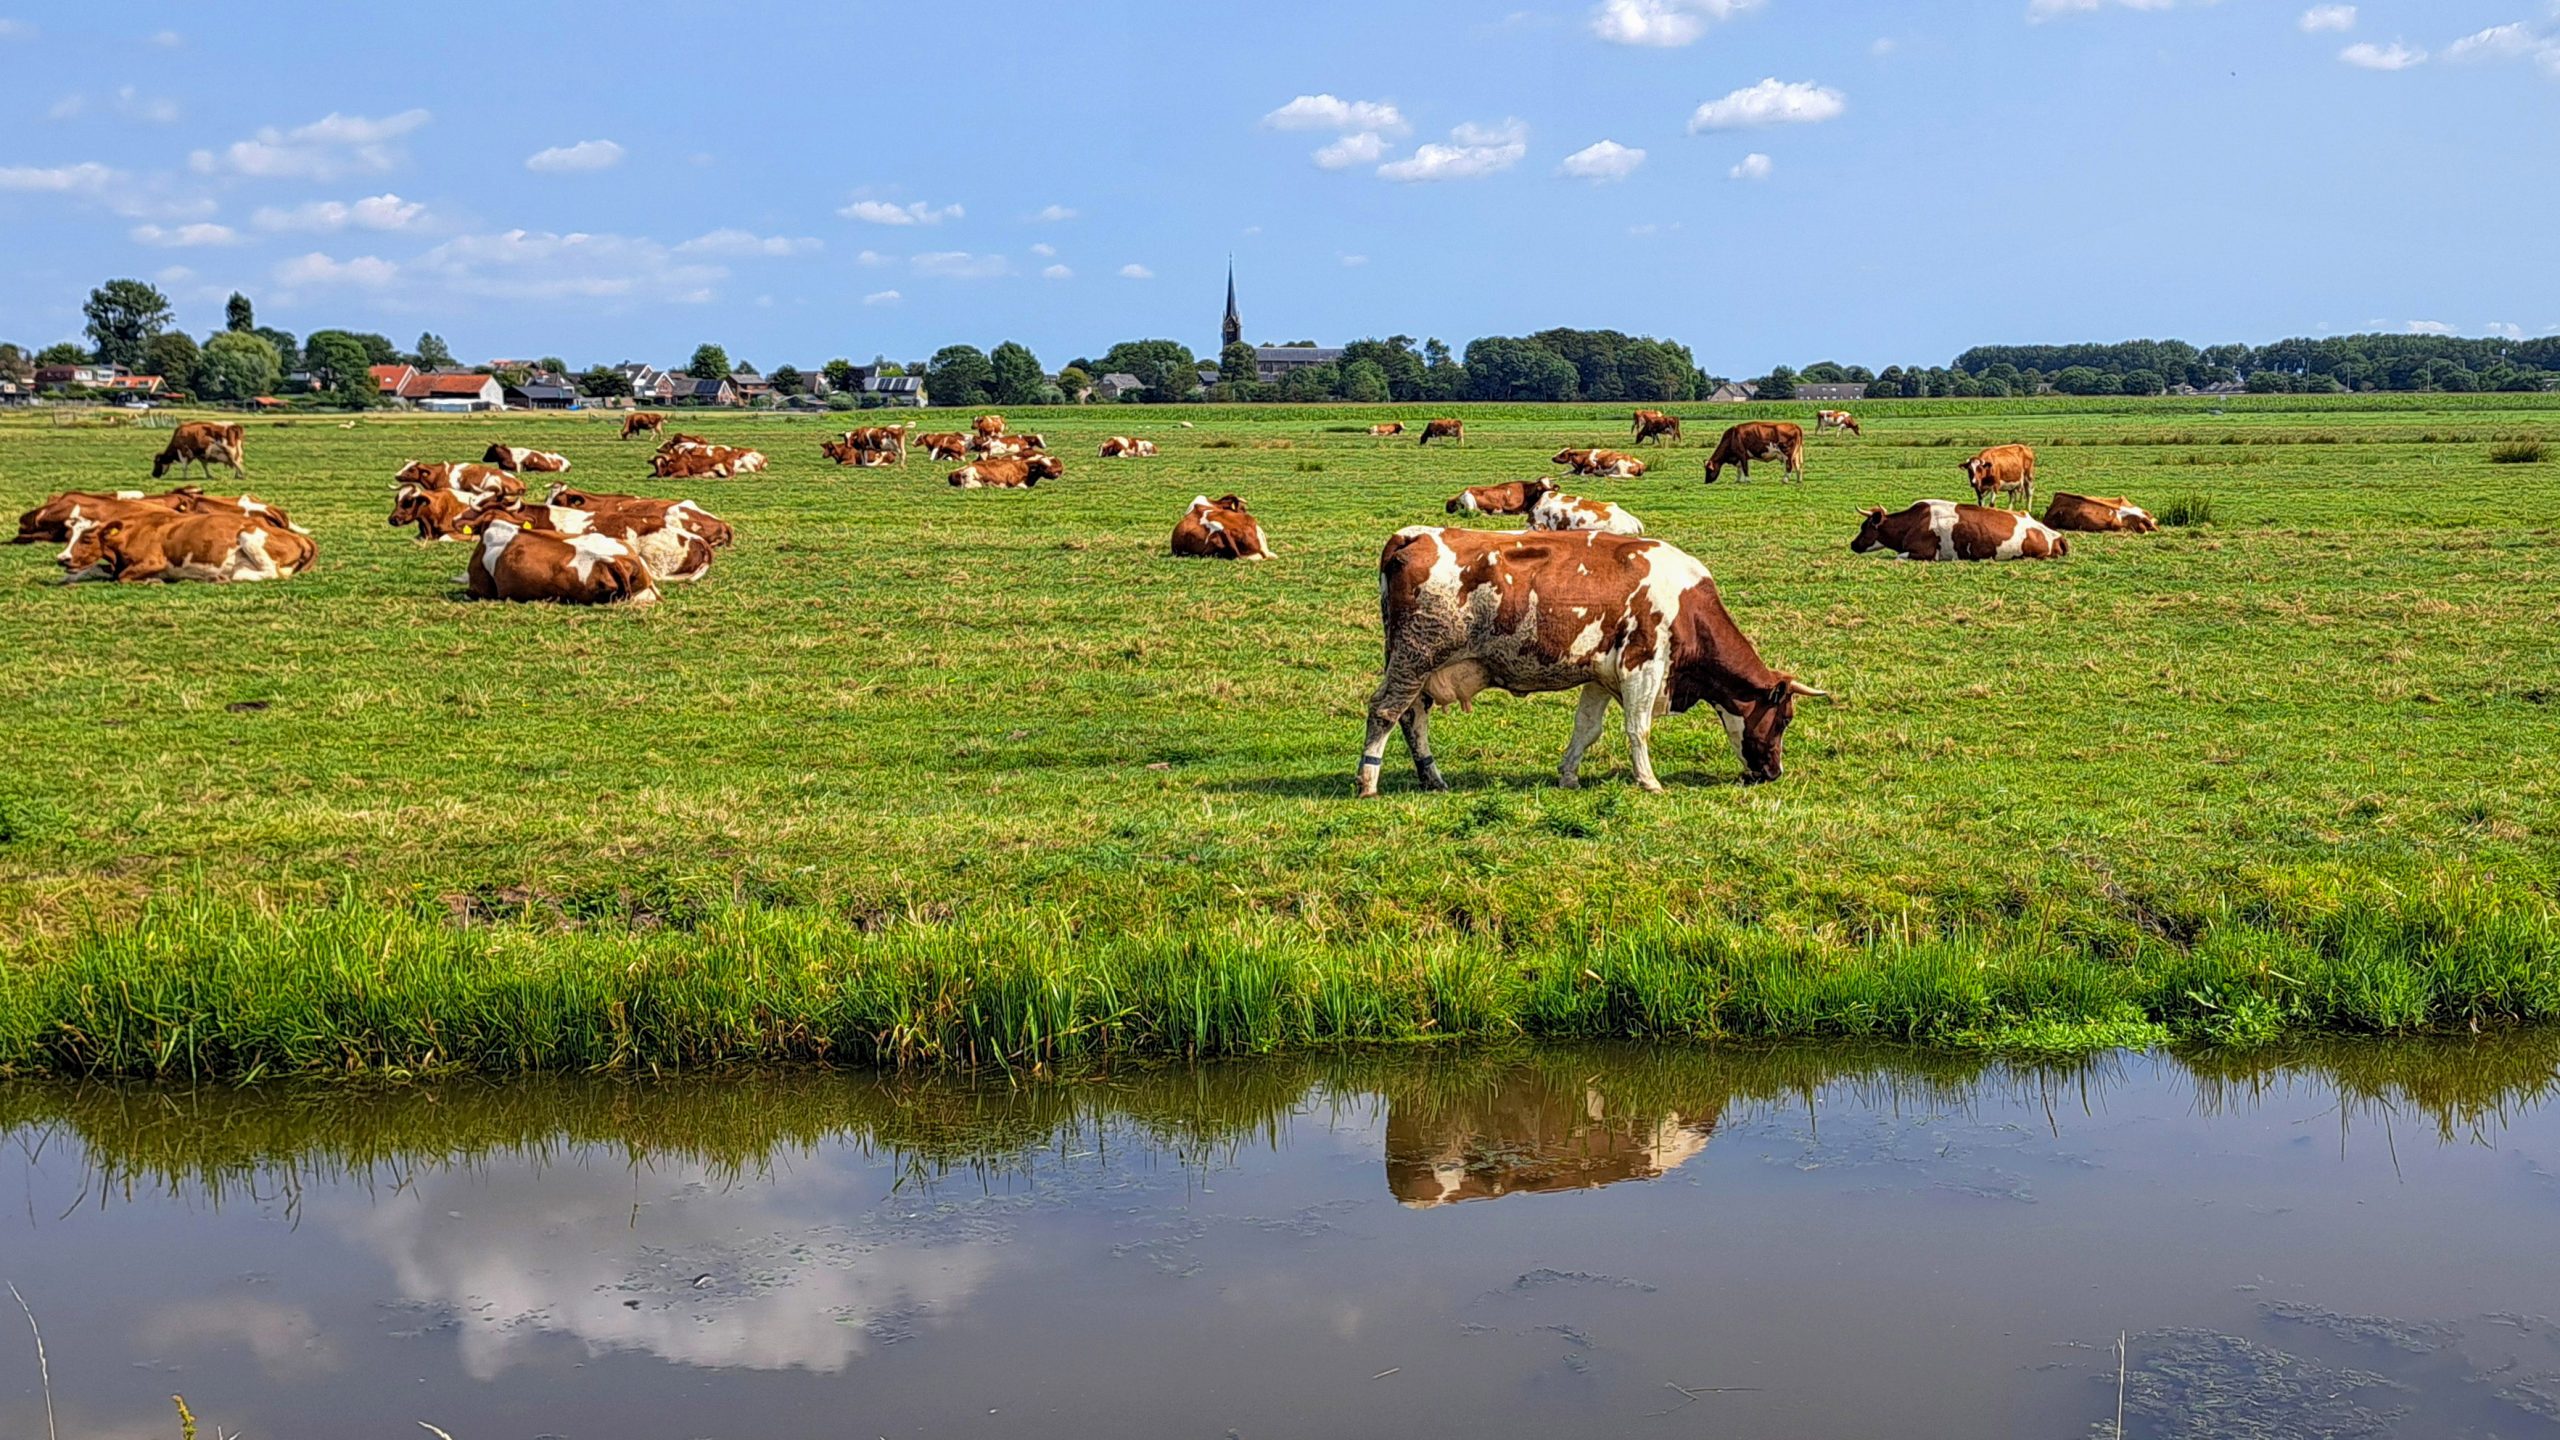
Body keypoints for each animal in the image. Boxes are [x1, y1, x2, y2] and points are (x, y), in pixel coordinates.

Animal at [61, 507, 316, 579]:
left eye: (87, 538)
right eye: (68, 535)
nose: (62, 559)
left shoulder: (154, 561)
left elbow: (123, 577)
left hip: (249, 536)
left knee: (268, 573)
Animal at [1351, 530, 1832, 794]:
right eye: (1784, 719)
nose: (1773, 773)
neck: (1685, 602)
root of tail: (1413, 534)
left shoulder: (1601, 674)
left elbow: (1587, 728)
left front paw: (1568, 774)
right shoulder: (1643, 665)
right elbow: (1638, 729)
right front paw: (1649, 781)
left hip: (1416, 666)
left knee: (1412, 716)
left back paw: (1432, 778)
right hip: (1415, 656)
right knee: (1386, 711)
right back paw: (1368, 781)